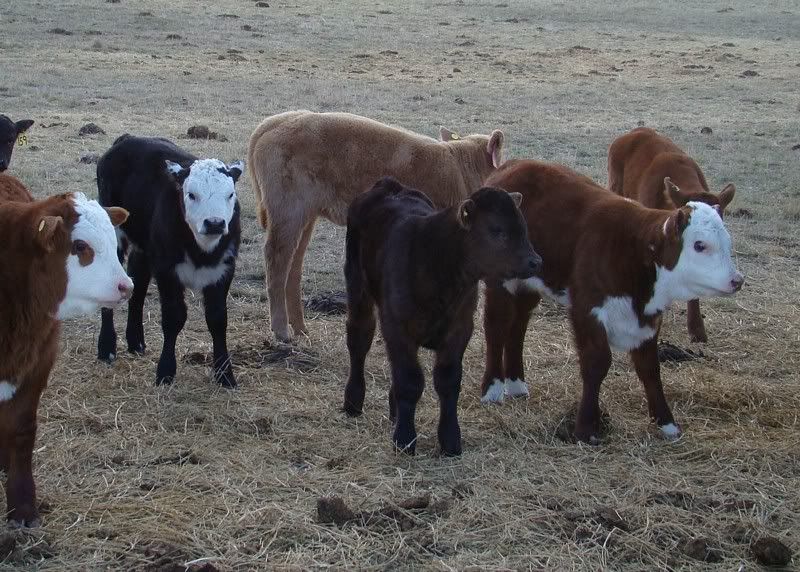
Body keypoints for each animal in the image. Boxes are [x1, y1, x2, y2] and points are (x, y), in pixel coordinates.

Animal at [1, 173, 131, 527]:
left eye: (114, 242)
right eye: (80, 246)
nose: (126, 286)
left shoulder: (37, 363)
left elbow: (22, 430)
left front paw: (24, 509)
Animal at [95, 135, 244, 388]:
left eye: (230, 194)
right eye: (191, 194)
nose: (214, 223)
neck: (201, 251)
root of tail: (128, 139)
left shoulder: (224, 269)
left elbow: (217, 319)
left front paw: (225, 375)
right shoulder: (167, 270)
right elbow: (174, 318)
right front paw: (165, 372)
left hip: (145, 246)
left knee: (138, 282)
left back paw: (136, 341)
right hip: (115, 230)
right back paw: (107, 347)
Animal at [248, 110, 506, 341]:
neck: (461, 170)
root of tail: (274, 122)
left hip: (306, 215)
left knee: (294, 264)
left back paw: (300, 328)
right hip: (288, 209)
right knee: (277, 258)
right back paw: (282, 331)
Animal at [342, 177, 542, 456]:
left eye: (522, 226)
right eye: (497, 230)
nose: (535, 261)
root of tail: (389, 185)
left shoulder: (460, 328)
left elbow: (447, 381)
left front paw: (450, 440)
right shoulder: (397, 325)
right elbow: (410, 381)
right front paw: (404, 440)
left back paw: (394, 412)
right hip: (357, 286)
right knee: (359, 338)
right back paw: (353, 401)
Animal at [480, 160, 743, 444]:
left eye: (727, 242)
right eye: (699, 245)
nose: (736, 280)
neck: (636, 251)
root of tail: (512, 165)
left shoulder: (648, 318)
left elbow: (650, 368)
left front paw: (667, 423)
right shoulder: (587, 309)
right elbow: (597, 363)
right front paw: (585, 428)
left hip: (530, 283)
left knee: (517, 327)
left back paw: (516, 384)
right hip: (500, 282)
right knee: (496, 327)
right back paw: (492, 389)